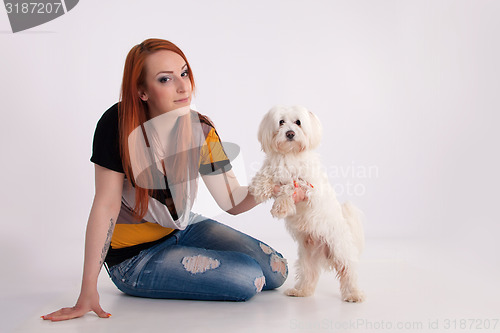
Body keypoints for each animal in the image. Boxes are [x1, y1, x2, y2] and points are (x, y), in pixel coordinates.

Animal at [249, 105, 364, 302]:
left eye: (298, 122)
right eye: (281, 122)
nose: (289, 133)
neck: (290, 154)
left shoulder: (308, 187)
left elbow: (289, 187)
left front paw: (281, 206)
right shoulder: (272, 169)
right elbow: (265, 176)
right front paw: (259, 188)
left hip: (339, 249)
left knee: (348, 271)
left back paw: (353, 294)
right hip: (307, 257)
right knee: (309, 274)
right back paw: (301, 291)